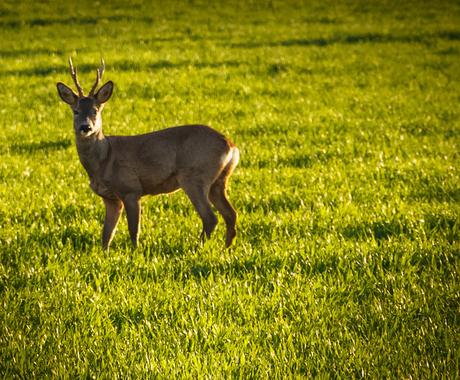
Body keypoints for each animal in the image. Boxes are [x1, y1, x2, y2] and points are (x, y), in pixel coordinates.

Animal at [55, 58, 239, 249]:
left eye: (95, 110)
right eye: (76, 111)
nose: (85, 127)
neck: (104, 159)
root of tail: (231, 146)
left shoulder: (131, 189)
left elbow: (133, 230)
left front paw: (135, 251)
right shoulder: (110, 198)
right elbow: (106, 235)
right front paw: (104, 253)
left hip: (195, 176)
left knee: (211, 217)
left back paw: (198, 248)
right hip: (218, 181)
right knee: (231, 214)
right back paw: (226, 248)